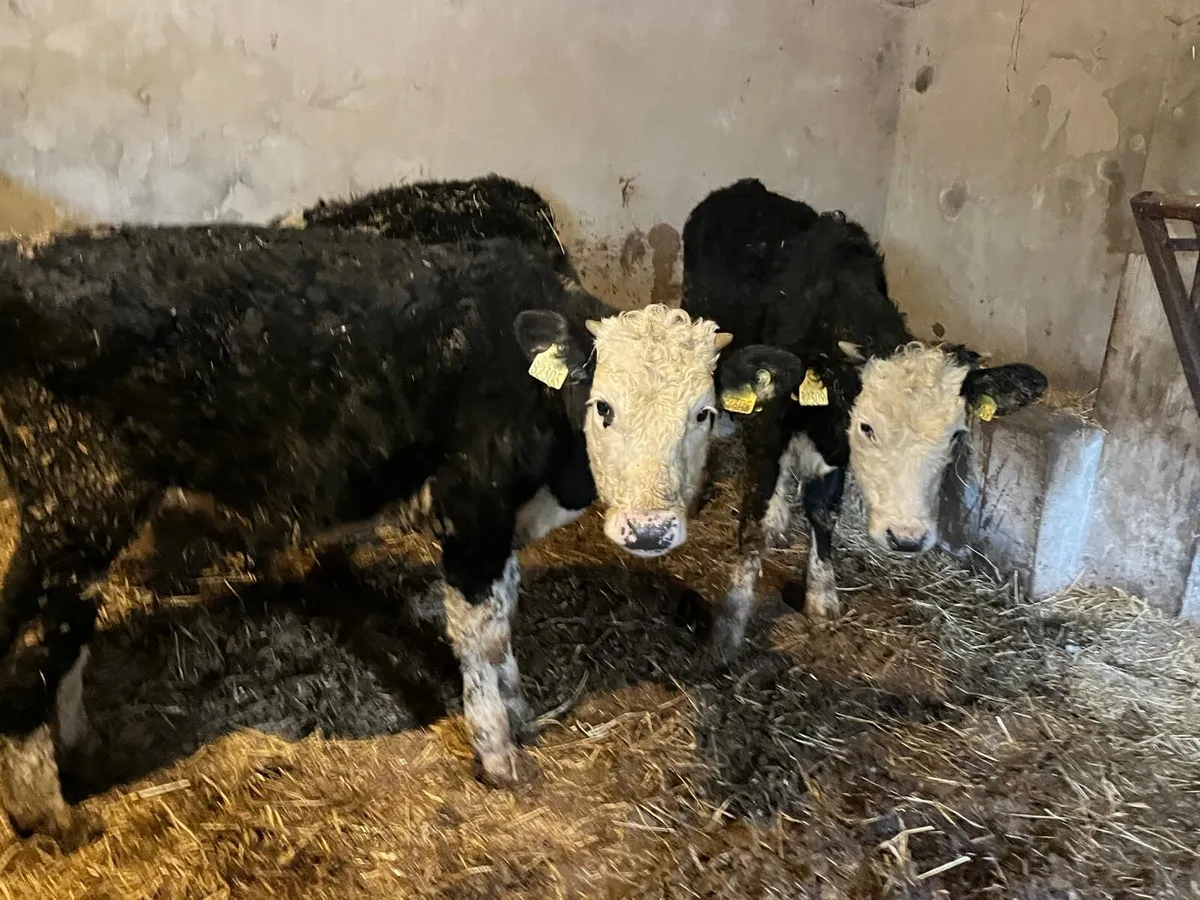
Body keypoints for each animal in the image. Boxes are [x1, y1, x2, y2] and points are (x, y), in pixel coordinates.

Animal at [0, 225, 733, 847]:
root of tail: (30, 261)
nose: (650, 530)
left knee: (64, 637)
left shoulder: (503, 526)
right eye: (602, 406)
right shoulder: (470, 509)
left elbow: (505, 615)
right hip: (77, 501)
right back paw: (47, 816)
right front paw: (497, 754)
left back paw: (78, 749)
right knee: (28, 649)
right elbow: (480, 633)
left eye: (703, 413)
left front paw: (518, 707)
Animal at [682, 178, 1048, 658]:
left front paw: (822, 598)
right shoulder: (769, 425)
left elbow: (824, 512)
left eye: (954, 437)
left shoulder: (832, 444)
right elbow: (753, 524)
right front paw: (729, 627)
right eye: (868, 427)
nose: (906, 537)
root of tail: (742, 188)